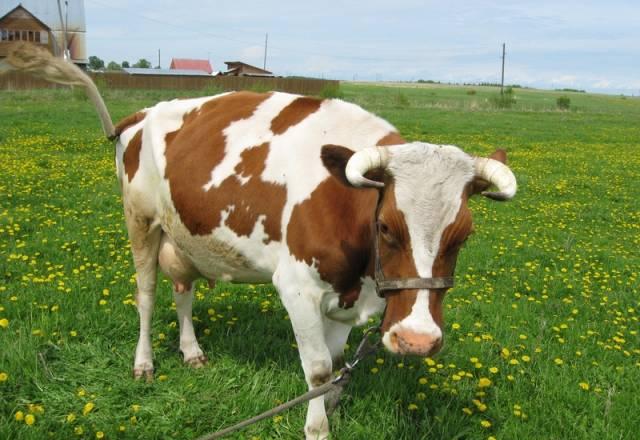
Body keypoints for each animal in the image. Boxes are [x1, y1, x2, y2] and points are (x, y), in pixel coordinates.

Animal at [3, 43, 516, 439]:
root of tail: (142, 113)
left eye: (464, 234)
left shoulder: (349, 296)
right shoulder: (297, 287)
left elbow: (334, 367)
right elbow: (318, 368)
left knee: (183, 293)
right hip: (141, 222)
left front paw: (329, 408)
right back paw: (144, 364)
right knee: (146, 296)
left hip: (186, 236)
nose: (416, 340)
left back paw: (192, 352)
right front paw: (316, 428)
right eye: (388, 225)